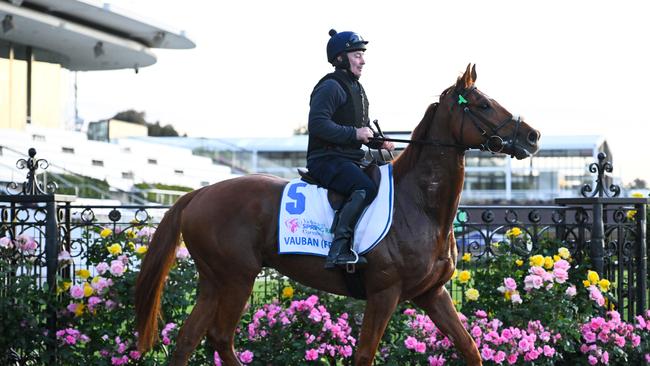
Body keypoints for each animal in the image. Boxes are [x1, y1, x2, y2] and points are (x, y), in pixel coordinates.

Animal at [134, 64, 540, 364]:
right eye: (483, 104)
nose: (533, 136)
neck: (420, 206)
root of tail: (198, 193)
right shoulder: (384, 293)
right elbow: (364, 355)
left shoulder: (432, 293)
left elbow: (469, 348)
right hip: (237, 278)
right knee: (219, 337)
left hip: (213, 281)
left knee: (188, 340)